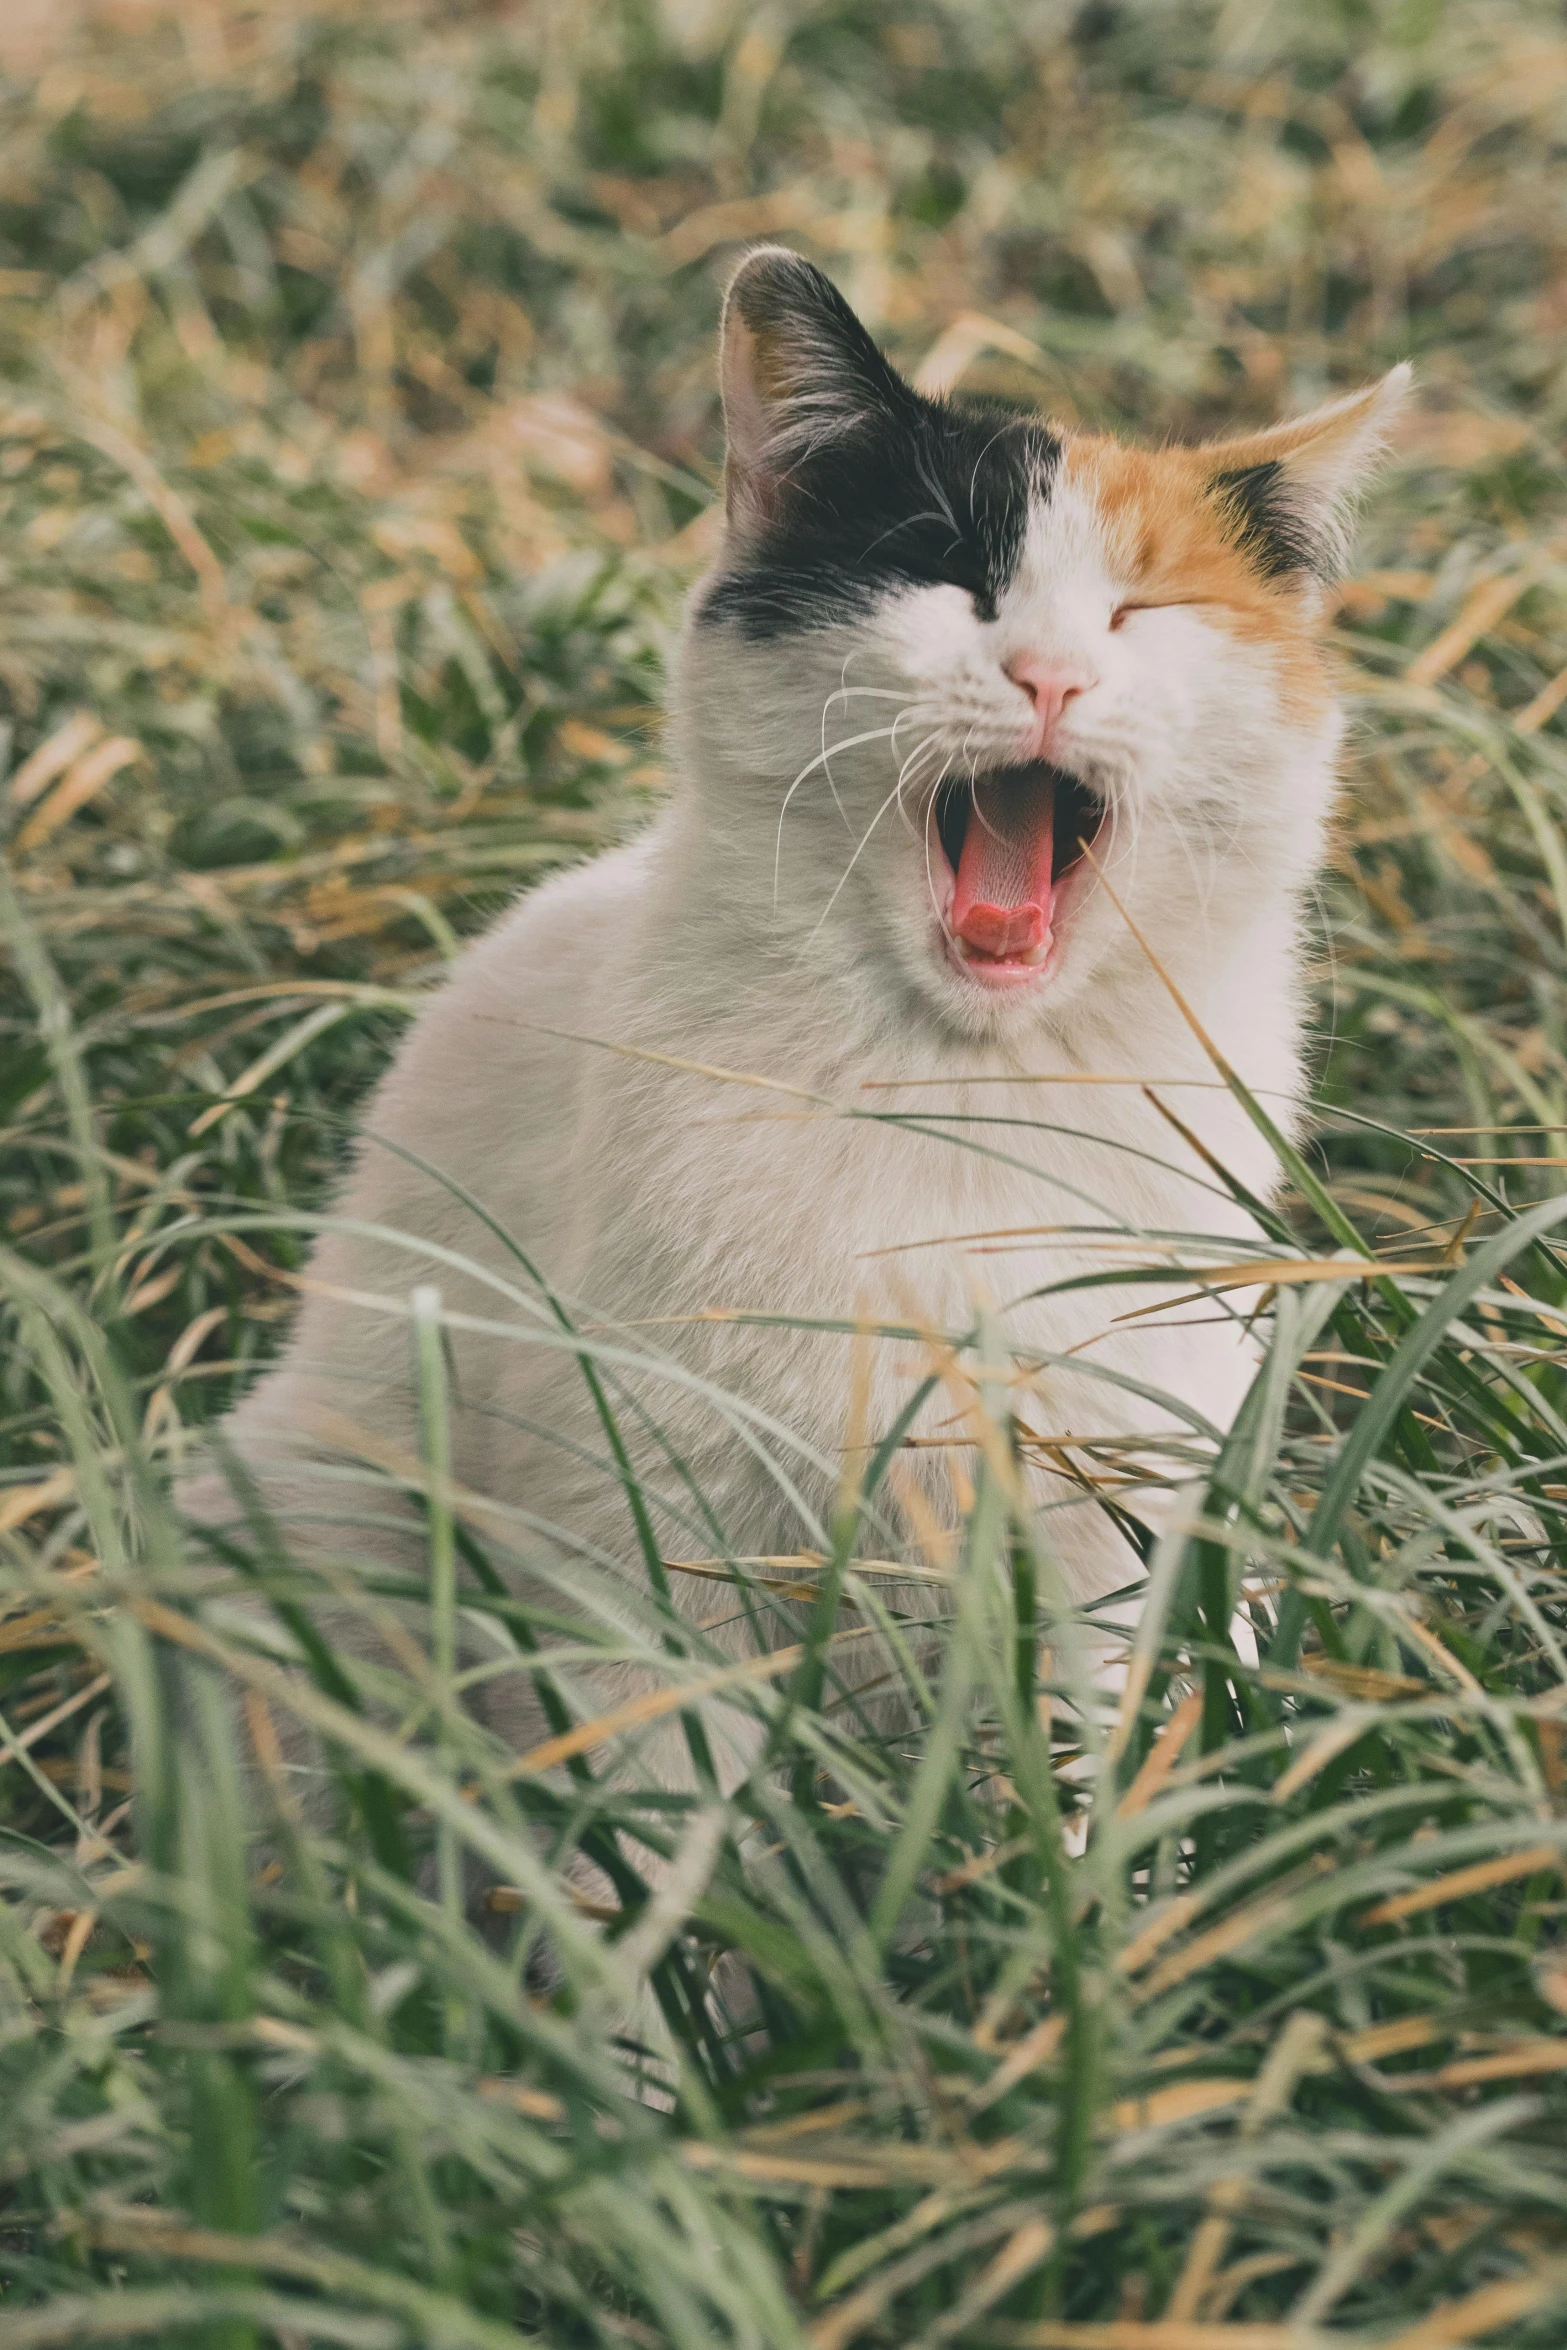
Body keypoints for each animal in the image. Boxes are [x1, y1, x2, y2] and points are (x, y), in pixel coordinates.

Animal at [180, 252, 1409, 1776]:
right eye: (948, 572)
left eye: (1142, 611)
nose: (1051, 674)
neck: (958, 1105)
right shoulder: (642, 1535)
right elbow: (662, 1806)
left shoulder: (1103, 1537)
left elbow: (1075, 1777)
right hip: (310, 1519)